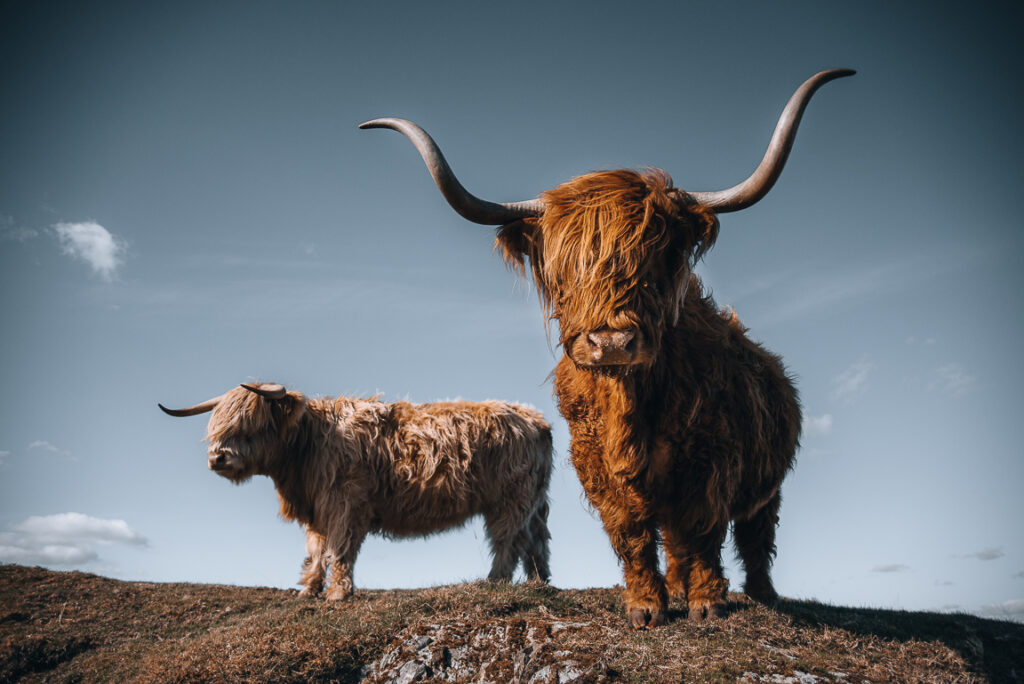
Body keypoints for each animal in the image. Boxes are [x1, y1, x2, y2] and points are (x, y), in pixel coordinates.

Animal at [159, 382, 553, 599]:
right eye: (216, 425)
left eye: (250, 423)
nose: (217, 457)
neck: (307, 446)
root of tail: (535, 419)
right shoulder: (318, 507)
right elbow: (315, 548)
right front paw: (308, 589)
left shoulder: (345, 502)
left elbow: (340, 547)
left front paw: (337, 592)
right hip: (533, 501)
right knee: (537, 540)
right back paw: (540, 583)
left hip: (510, 500)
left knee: (507, 541)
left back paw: (494, 581)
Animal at [360, 69, 853, 628]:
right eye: (563, 264)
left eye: (658, 254)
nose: (611, 341)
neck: (630, 408)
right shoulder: (594, 462)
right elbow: (633, 531)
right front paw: (646, 606)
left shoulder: (712, 457)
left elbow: (704, 527)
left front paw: (706, 603)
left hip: (766, 484)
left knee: (754, 533)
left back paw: (761, 593)